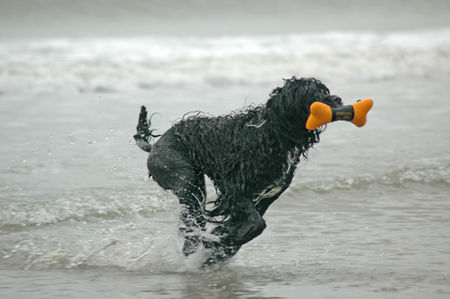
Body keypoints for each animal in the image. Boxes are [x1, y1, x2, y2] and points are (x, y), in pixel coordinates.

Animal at [133, 77, 342, 268]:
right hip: (185, 180)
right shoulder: (235, 190)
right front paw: (220, 243)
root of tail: (154, 145)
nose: (338, 99)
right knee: (190, 221)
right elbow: (257, 224)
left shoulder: (264, 199)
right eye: (314, 94)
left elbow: (247, 226)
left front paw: (220, 247)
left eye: (325, 91)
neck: (274, 132)